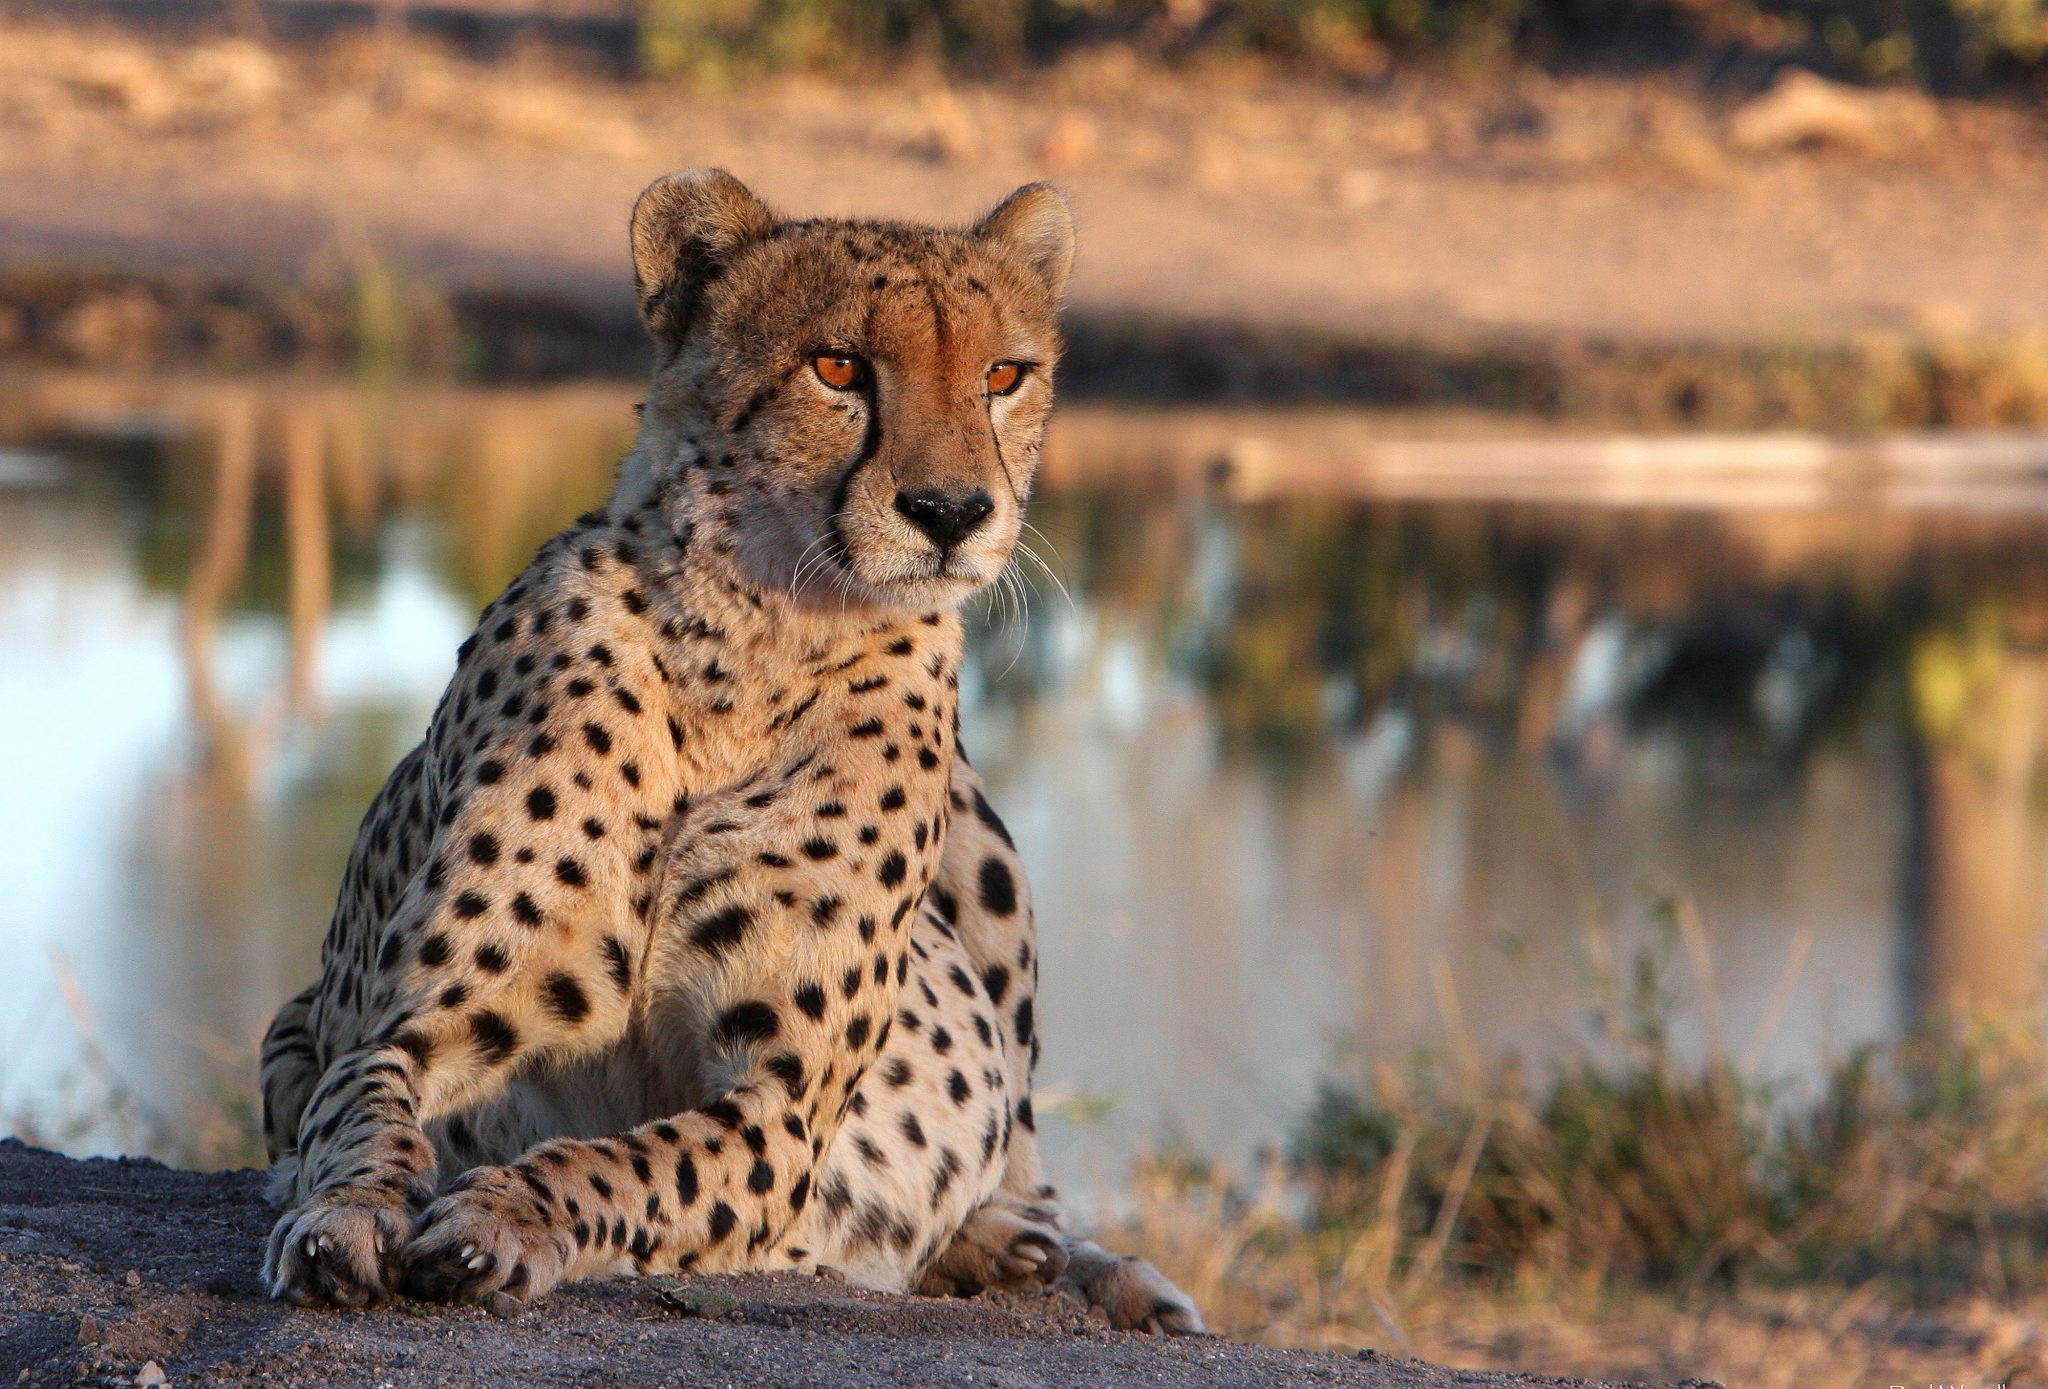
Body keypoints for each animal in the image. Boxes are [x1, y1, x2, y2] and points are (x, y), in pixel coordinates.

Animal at [255, 168, 1204, 1336]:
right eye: (838, 367)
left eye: (1003, 376)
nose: (950, 512)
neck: (748, 647)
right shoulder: (413, 1022)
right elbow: (363, 1114)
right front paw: (343, 1217)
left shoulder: (779, 1107)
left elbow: (610, 1163)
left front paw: (501, 1217)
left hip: (988, 863)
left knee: (1027, 1174)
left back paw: (1038, 1252)